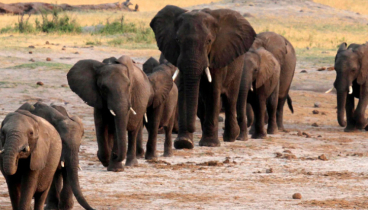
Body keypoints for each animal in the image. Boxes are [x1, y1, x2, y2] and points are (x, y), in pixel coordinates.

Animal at [150, 5, 256, 149]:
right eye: (177, 40)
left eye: (209, 41)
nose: (192, 129)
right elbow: (184, 91)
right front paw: (184, 142)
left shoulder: (217, 54)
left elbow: (213, 91)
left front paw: (210, 144)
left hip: (237, 66)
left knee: (230, 99)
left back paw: (230, 137)